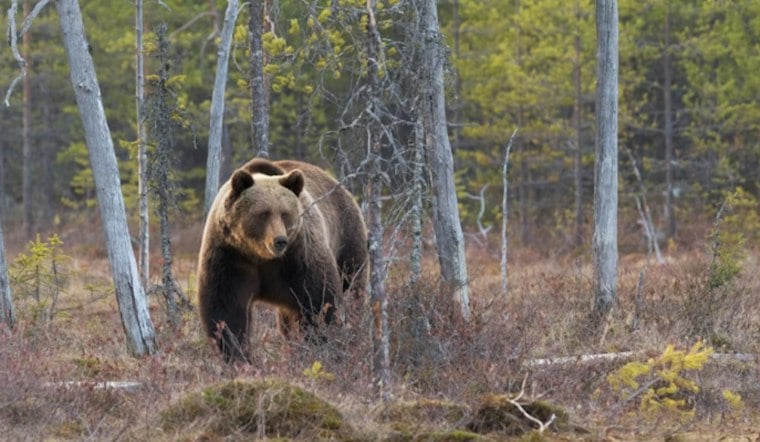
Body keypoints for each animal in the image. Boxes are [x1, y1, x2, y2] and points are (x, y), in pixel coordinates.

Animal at [197, 158, 368, 363]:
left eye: (285, 213)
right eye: (263, 213)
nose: (280, 240)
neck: (260, 256)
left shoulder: (299, 256)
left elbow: (320, 301)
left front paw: (320, 345)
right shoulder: (230, 255)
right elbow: (227, 308)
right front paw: (237, 356)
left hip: (346, 239)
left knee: (352, 286)